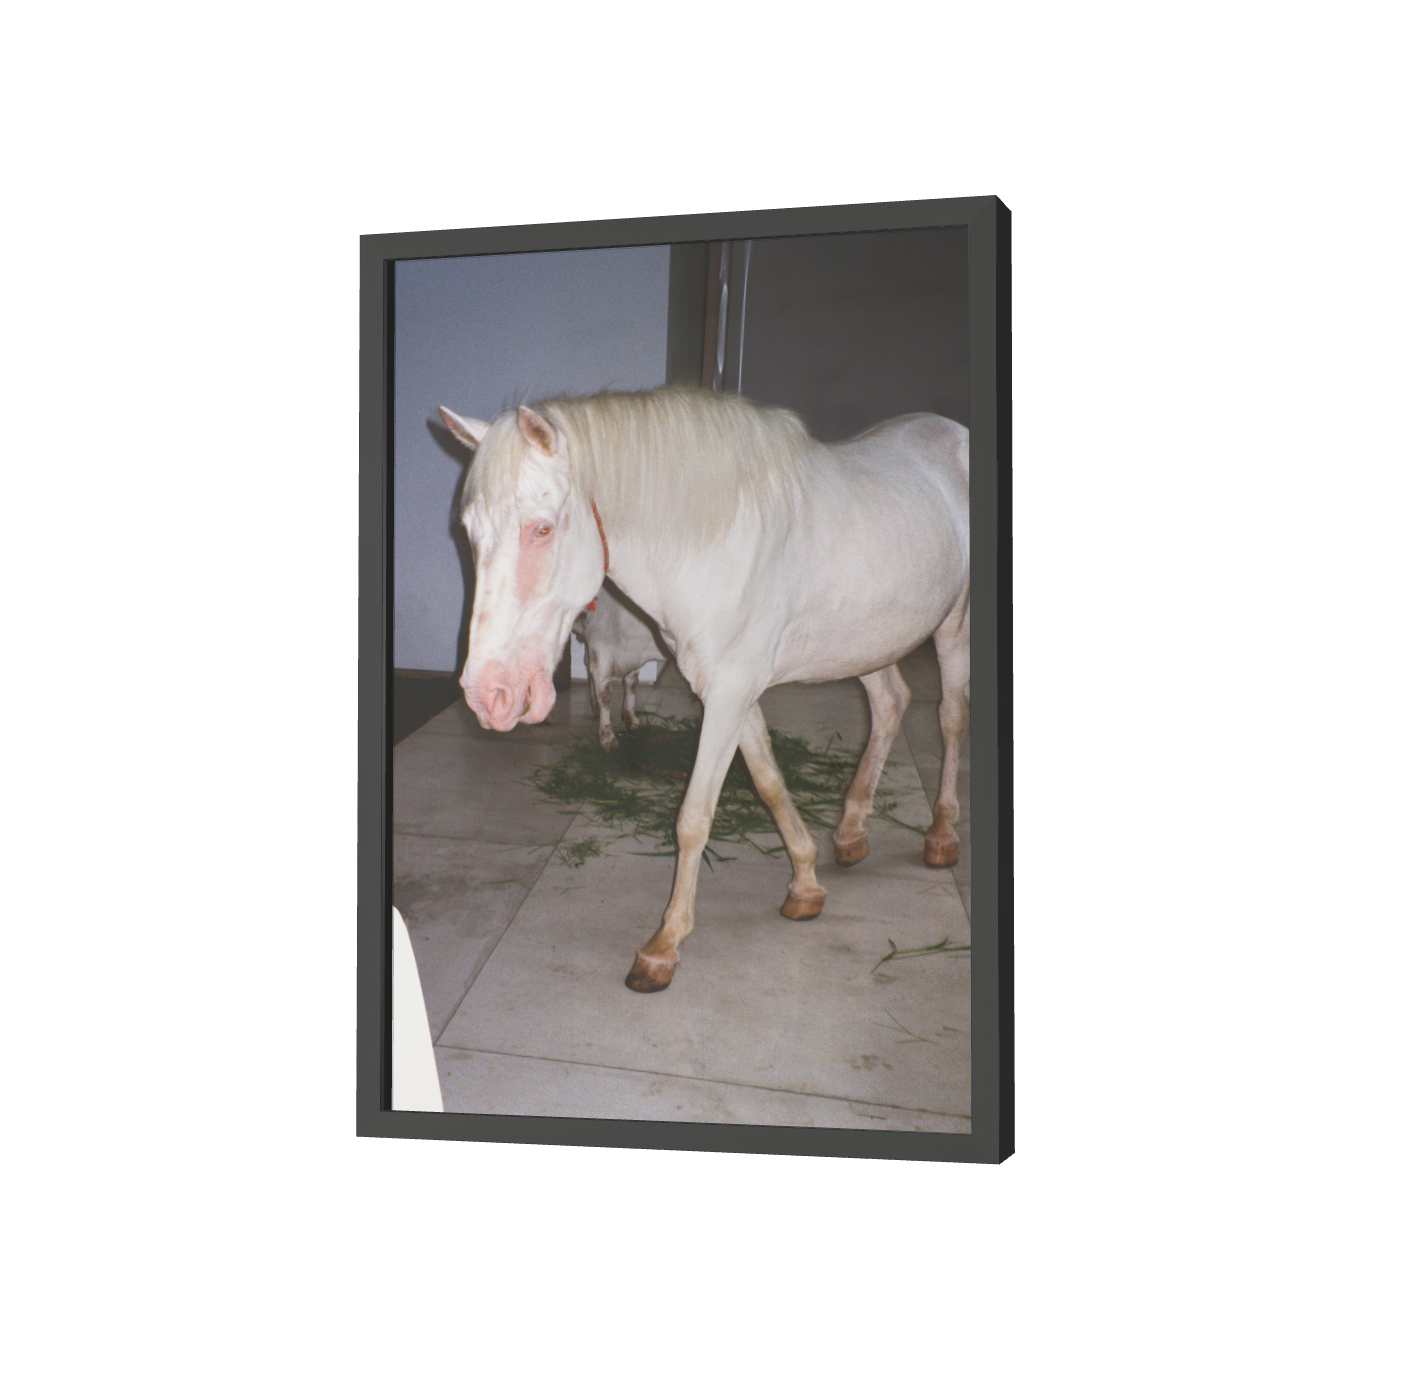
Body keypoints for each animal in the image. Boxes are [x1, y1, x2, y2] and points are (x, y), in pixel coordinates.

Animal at [571, 583, 669, 752]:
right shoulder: (600, 649)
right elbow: (605, 695)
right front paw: (607, 737)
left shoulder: (632, 657)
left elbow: (631, 685)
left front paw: (631, 719)